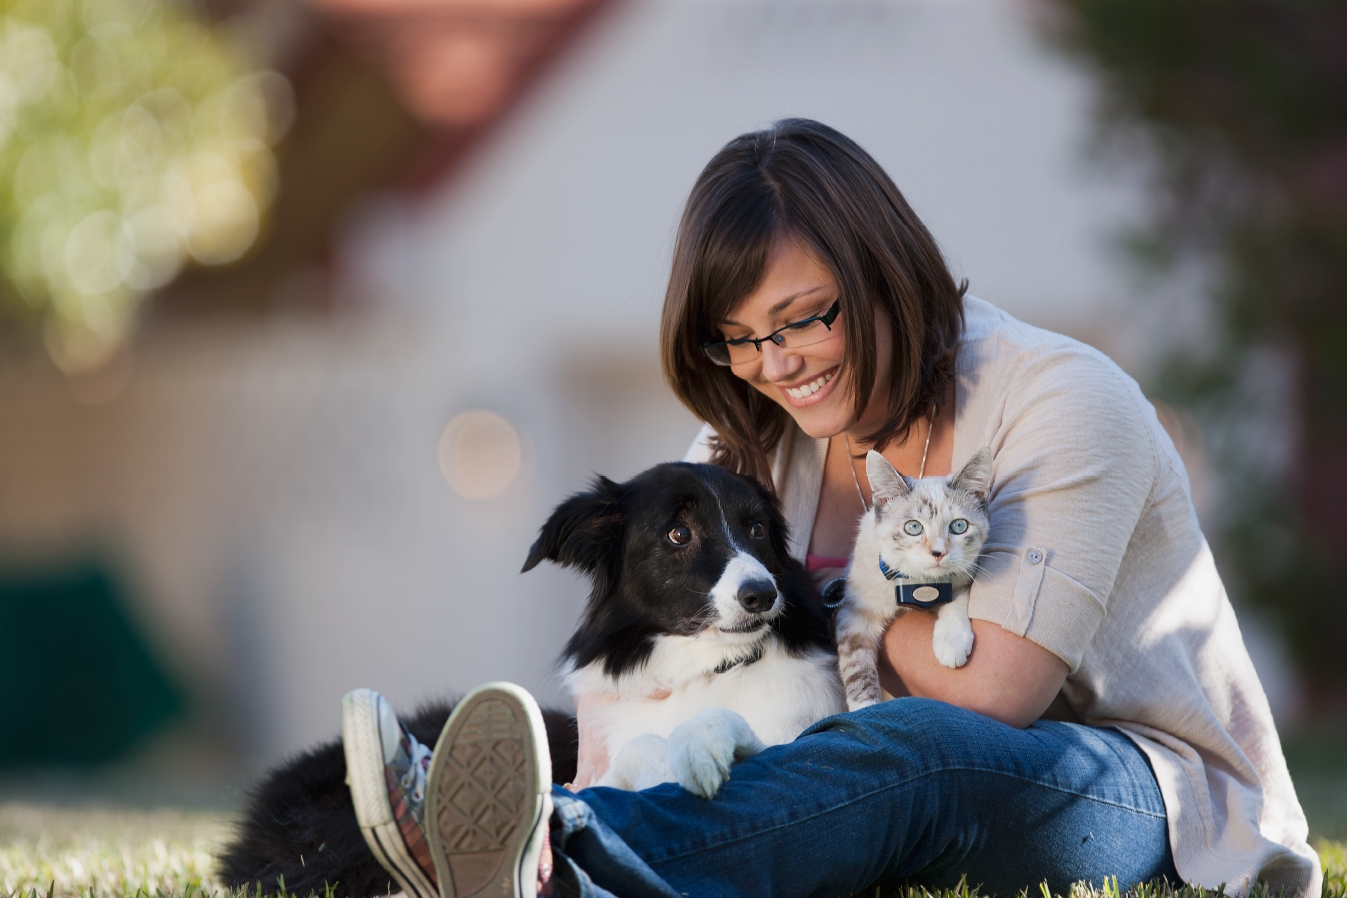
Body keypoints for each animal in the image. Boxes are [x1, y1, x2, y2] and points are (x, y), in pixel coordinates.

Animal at [220, 460, 840, 893]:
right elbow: (636, 751)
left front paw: (700, 746)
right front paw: (669, 758)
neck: (704, 668)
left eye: (756, 529)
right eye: (679, 534)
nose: (763, 594)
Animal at [829, 446, 991, 710]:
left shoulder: (966, 573)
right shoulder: (853, 613)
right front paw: (866, 708)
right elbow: (857, 668)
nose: (938, 552)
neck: (919, 582)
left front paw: (952, 641)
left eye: (959, 526)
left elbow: (958, 597)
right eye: (913, 527)